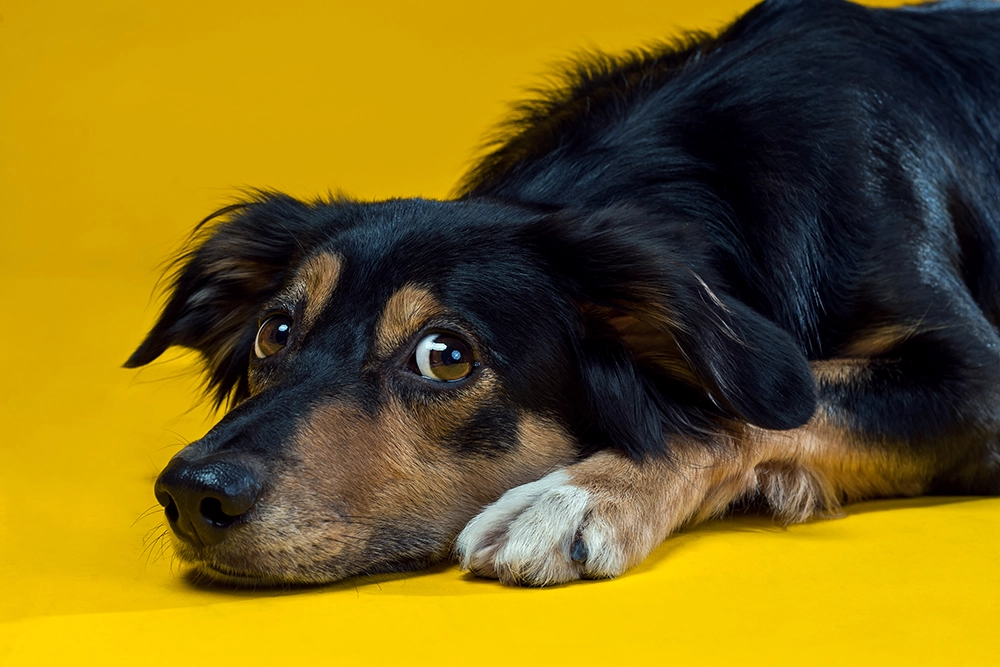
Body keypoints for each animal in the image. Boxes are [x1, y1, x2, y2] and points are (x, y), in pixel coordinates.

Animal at [129, 0, 1000, 584]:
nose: (192, 494)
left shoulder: (978, 379)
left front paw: (575, 495)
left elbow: (727, 405)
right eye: (275, 333)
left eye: (445, 356)